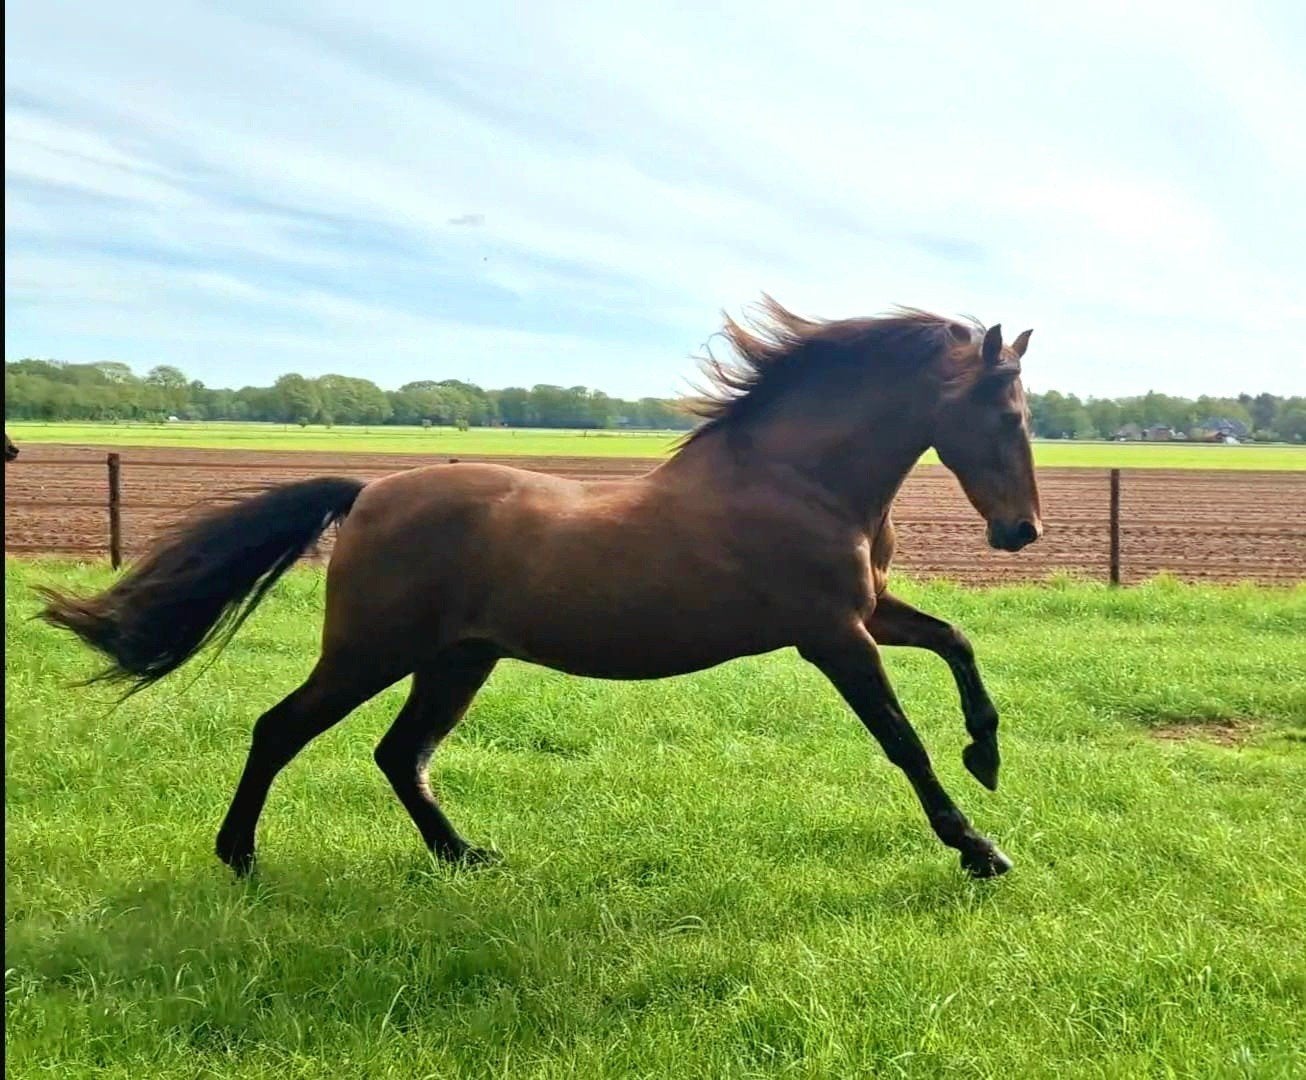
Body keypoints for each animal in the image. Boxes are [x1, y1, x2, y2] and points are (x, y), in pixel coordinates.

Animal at [39, 299, 1042, 880]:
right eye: (1009, 413)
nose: (1021, 531)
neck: (796, 479)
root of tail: (367, 491)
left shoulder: (868, 613)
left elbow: (956, 641)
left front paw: (988, 756)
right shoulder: (833, 634)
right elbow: (902, 741)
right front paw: (980, 848)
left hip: (456, 661)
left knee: (399, 754)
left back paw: (465, 857)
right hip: (372, 652)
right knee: (281, 728)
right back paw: (239, 858)